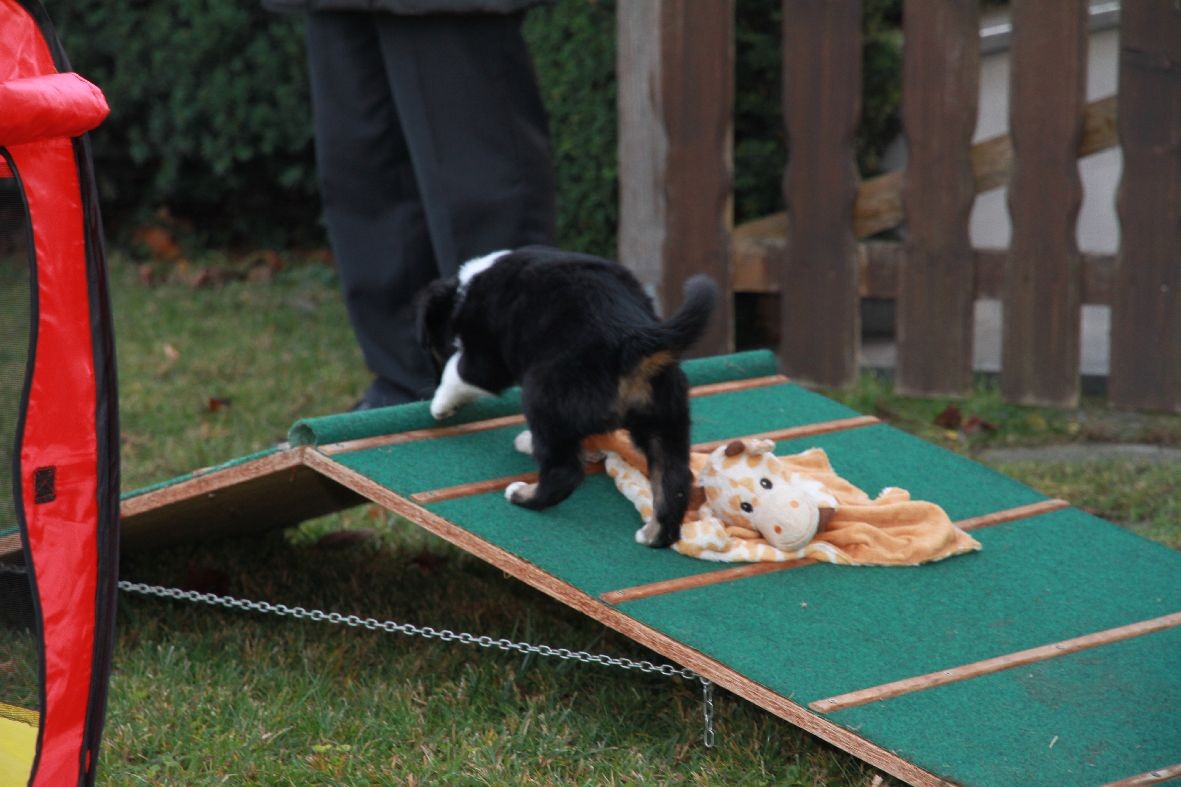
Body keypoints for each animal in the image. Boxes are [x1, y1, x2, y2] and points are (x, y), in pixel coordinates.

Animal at [416, 245, 718, 548]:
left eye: (430, 344)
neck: (466, 289)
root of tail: (632, 338)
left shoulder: (484, 361)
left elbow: (457, 373)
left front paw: (439, 405)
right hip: (666, 419)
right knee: (674, 478)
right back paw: (654, 535)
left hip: (543, 396)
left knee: (563, 471)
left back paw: (522, 495)